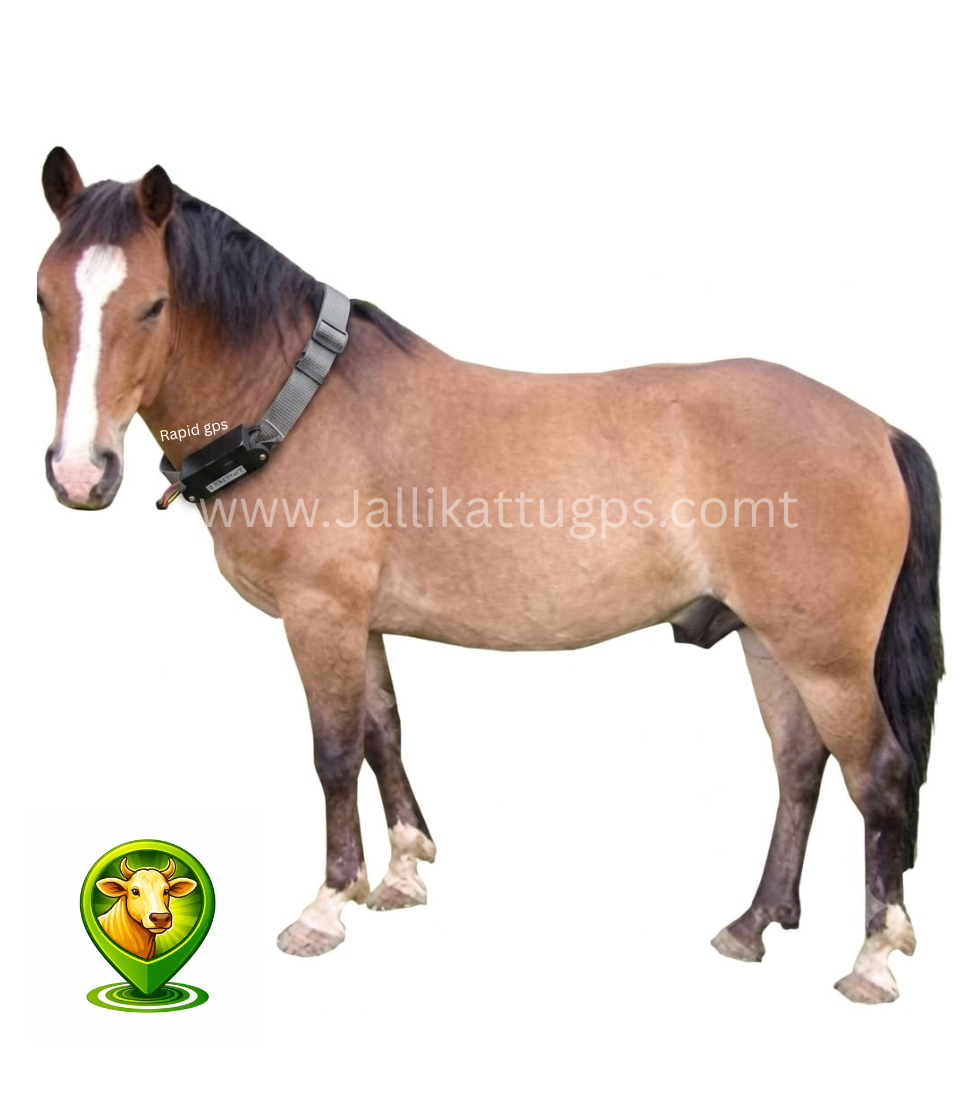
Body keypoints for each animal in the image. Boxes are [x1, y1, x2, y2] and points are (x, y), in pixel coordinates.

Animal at [36, 147, 942, 1004]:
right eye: (44, 298)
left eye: (153, 304)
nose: (81, 473)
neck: (298, 402)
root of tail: (877, 429)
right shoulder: (362, 620)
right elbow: (384, 733)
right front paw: (403, 871)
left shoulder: (318, 612)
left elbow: (335, 752)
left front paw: (328, 903)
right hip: (768, 639)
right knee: (799, 768)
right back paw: (753, 922)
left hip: (827, 659)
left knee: (879, 778)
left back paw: (873, 957)